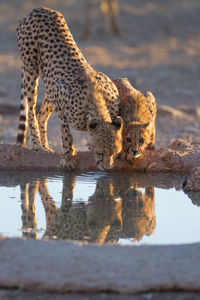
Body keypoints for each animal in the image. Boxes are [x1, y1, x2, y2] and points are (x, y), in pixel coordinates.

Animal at [16, 7, 122, 170]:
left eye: (115, 153)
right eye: (100, 153)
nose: (107, 168)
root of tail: (40, 9)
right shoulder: (62, 106)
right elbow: (66, 134)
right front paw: (67, 157)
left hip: (50, 83)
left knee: (42, 115)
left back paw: (46, 146)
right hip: (30, 70)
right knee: (31, 110)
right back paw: (36, 145)